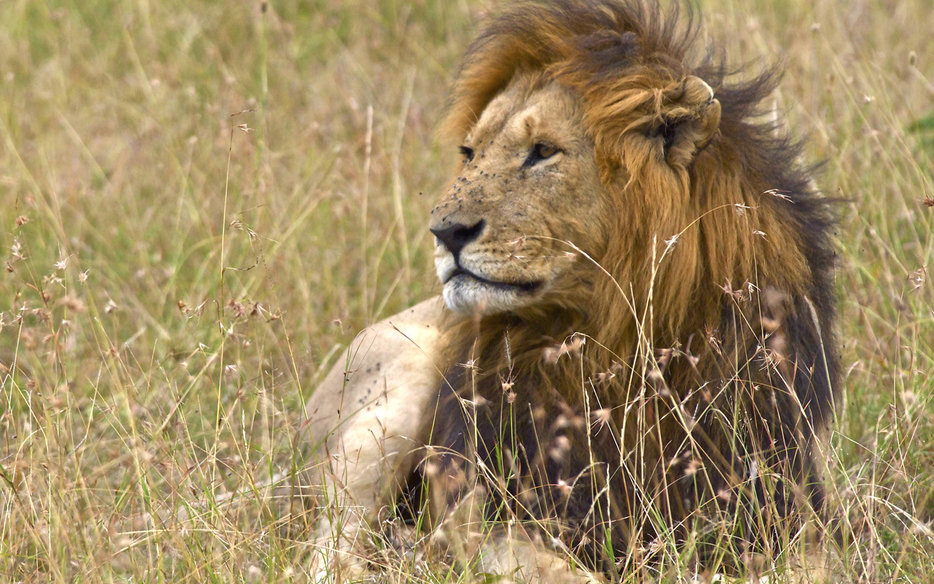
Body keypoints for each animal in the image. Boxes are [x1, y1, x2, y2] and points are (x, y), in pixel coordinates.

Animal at [304, 0, 839, 580]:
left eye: (542, 151)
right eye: (470, 152)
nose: (444, 232)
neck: (613, 345)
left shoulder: (785, 506)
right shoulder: (484, 513)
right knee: (327, 550)